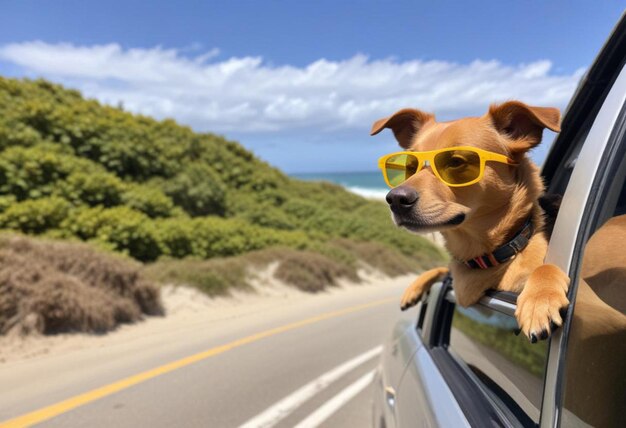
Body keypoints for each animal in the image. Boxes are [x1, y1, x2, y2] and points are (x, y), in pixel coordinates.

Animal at [370, 100, 572, 342]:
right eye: (409, 165)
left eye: (456, 162)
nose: (395, 199)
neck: (488, 257)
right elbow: (444, 269)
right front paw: (416, 285)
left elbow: (544, 267)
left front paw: (539, 300)